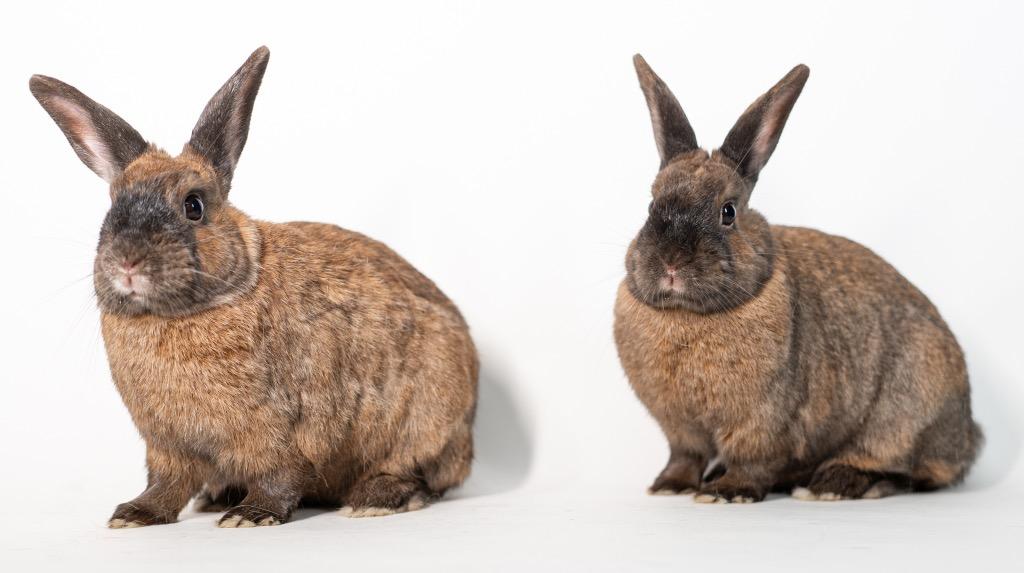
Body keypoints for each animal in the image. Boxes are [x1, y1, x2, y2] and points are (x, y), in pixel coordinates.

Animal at [29, 46, 478, 527]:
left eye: (193, 206)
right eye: (113, 207)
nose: (128, 263)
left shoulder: (282, 429)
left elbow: (278, 473)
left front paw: (252, 515)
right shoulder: (167, 444)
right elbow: (166, 484)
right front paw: (134, 514)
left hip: (428, 421)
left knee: (419, 473)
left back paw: (373, 499)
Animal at [614, 55, 982, 503]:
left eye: (728, 212)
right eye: (651, 205)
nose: (671, 263)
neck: (689, 316)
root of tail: (969, 437)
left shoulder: (764, 420)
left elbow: (753, 460)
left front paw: (729, 491)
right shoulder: (681, 429)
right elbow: (685, 455)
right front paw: (670, 485)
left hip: (906, 415)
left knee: (902, 468)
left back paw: (831, 485)